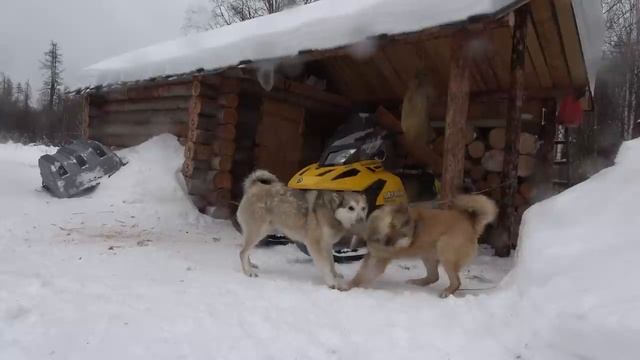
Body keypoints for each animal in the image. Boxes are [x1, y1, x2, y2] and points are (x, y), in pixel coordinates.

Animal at [238, 169, 368, 290]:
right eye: (351, 208)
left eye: (363, 208)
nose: (362, 220)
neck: (331, 212)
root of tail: (255, 186)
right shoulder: (315, 244)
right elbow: (325, 265)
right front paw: (332, 283)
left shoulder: (327, 244)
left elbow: (331, 262)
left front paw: (335, 275)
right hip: (258, 232)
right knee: (242, 252)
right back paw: (248, 272)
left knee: (246, 251)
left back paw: (250, 266)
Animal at [348, 195, 498, 296]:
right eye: (392, 225)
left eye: (404, 235)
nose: (388, 244)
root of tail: (471, 223)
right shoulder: (372, 255)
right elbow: (361, 273)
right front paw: (352, 284)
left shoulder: (380, 260)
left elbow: (365, 275)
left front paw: (349, 287)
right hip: (428, 255)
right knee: (434, 276)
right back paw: (417, 282)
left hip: (445, 252)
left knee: (456, 281)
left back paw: (447, 292)